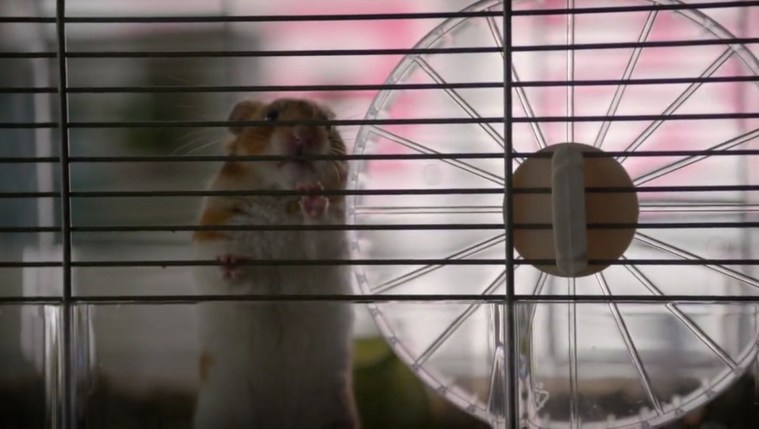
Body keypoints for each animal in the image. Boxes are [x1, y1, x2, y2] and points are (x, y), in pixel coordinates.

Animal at [192, 98, 359, 428]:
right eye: (271, 116)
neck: (280, 196)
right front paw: (231, 261)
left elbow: (320, 234)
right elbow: (222, 270)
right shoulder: (212, 237)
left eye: (328, 125)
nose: (304, 135)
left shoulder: (331, 248)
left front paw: (312, 195)